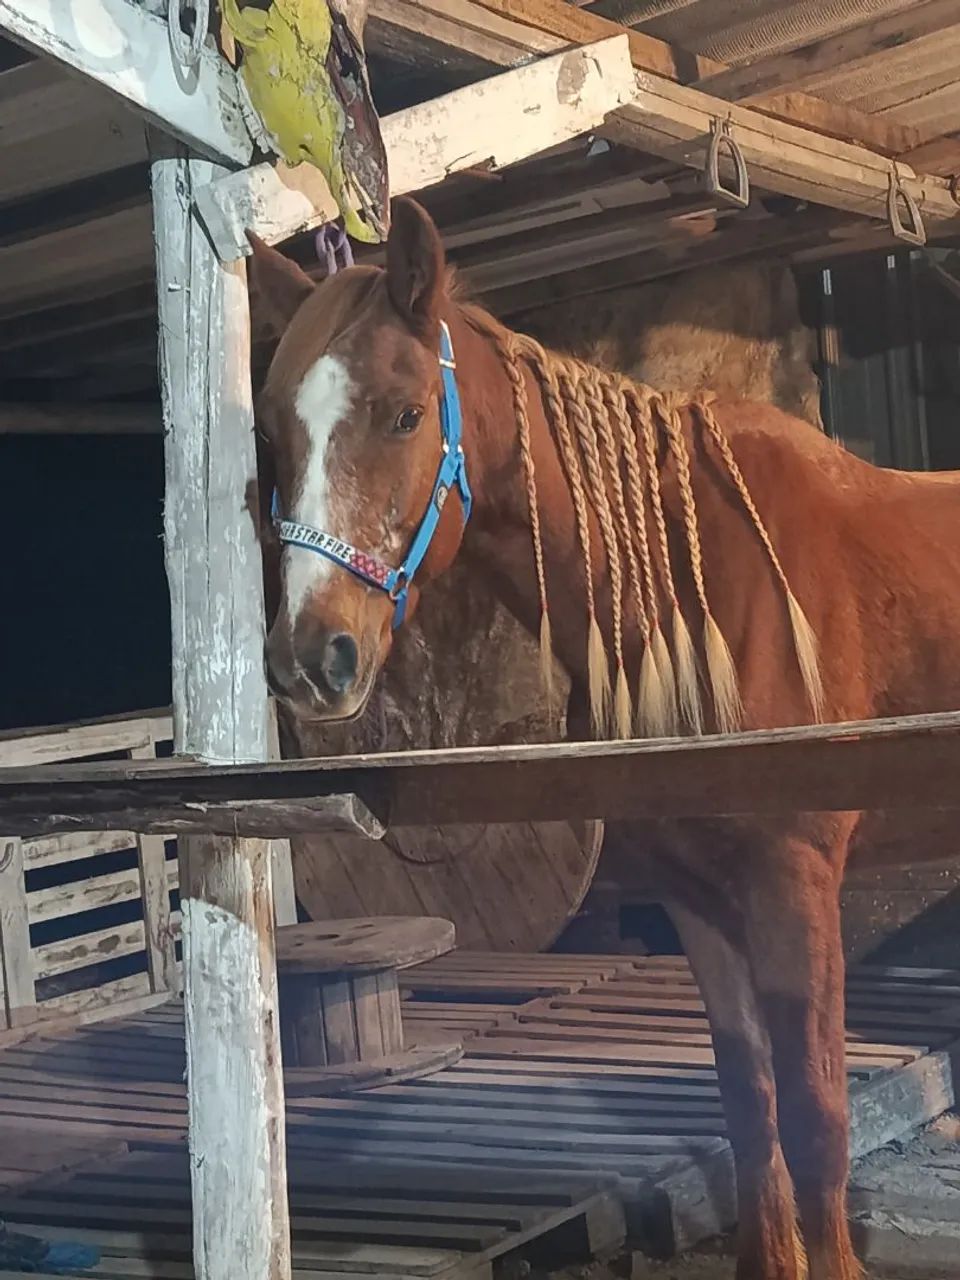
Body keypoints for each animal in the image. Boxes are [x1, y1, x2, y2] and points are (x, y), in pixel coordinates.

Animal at [250, 196, 960, 1280]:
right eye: (273, 433)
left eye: (405, 413)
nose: (309, 659)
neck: (694, 588)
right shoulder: (694, 894)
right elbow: (750, 1107)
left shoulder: (795, 881)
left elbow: (815, 1123)